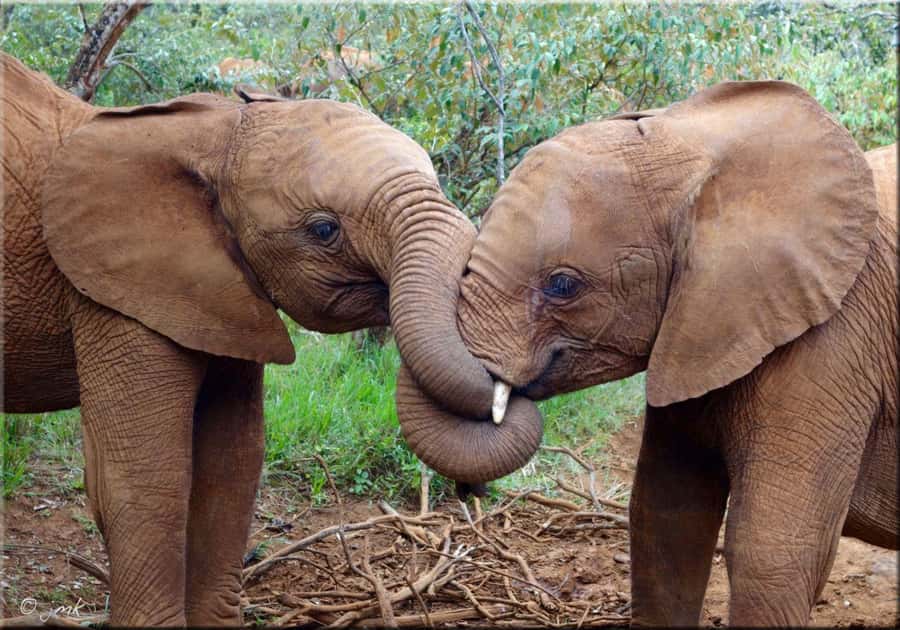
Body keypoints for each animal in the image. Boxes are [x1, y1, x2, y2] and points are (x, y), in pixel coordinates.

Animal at [1, 52, 479, 626]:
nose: (468, 493)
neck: (212, 130)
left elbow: (233, 462)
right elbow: (148, 477)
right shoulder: (110, 288)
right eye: (324, 230)